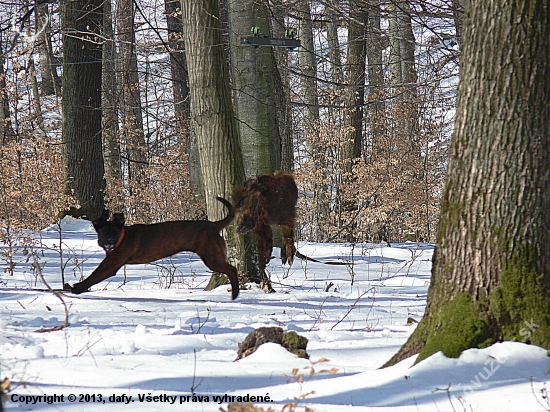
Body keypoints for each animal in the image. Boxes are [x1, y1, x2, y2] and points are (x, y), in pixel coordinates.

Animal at [64, 197, 239, 298]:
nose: (110, 240)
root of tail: (213, 225)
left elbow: (94, 276)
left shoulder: (111, 264)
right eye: (104, 232)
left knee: (232, 269)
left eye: (114, 232)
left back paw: (235, 293)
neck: (123, 237)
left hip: (211, 257)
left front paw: (77, 288)